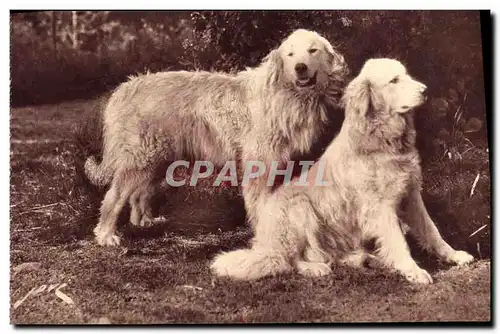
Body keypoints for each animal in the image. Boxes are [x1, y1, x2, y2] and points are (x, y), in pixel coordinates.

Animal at [84, 29, 350, 245]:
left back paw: (144, 221)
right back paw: (106, 234)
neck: (287, 93)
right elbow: (260, 200)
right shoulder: (260, 161)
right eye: (291, 54)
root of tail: (125, 88)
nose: (300, 68)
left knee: (138, 193)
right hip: (142, 156)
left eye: (312, 50)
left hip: (157, 158)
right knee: (115, 195)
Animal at [210, 58, 472, 284]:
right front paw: (413, 270)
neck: (383, 140)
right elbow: (398, 241)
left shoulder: (411, 195)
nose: (425, 90)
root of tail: (265, 245)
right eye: (394, 80)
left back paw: (366, 259)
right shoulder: (380, 206)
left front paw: (454, 254)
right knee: (289, 260)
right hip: (298, 207)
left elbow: (431, 230)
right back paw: (315, 268)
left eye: (406, 75)